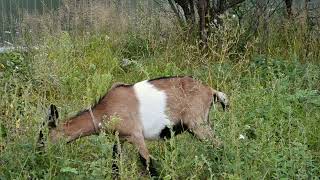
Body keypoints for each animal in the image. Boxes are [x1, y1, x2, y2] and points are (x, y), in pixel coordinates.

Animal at [38, 76, 229, 177]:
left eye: (43, 136)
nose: (39, 153)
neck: (106, 109)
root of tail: (211, 91)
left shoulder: (136, 136)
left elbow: (147, 163)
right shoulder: (120, 139)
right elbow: (115, 164)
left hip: (198, 125)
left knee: (220, 145)